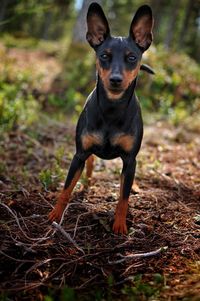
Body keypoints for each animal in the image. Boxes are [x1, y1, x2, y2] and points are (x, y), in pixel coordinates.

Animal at [48, 2, 155, 234]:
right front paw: (55, 215)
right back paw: (86, 183)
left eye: (132, 58)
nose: (115, 79)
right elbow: (66, 189)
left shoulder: (130, 160)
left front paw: (120, 225)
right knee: (90, 164)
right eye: (104, 56)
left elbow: (123, 198)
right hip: (86, 153)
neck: (111, 109)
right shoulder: (79, 154)